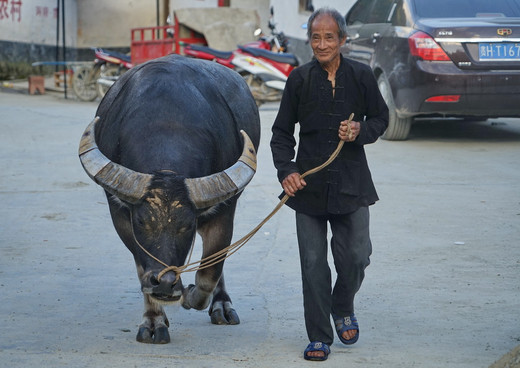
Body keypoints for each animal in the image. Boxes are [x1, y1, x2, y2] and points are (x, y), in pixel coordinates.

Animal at [78, 53, 260, 344]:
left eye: (186, 226)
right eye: (142, 222)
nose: (165, 282)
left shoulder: (224, 210)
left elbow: (209, 272)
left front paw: (190, 295)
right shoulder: (120, 214)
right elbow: (142, 268)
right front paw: (153, 321)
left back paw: (220, 305)